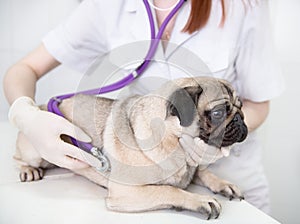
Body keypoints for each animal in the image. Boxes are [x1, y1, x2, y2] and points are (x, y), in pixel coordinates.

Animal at [14, 76, 247, 219]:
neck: (173, 143)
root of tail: (41, 107)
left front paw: (223, 184)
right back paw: (28, 170)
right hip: (35, 151)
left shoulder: (191, 167)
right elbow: (168, 189)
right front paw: (199, 200)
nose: (241, 119)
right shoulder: (125, 192)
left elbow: (204, 172)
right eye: (218, 113)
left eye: (241, 107)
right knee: (19, 157)